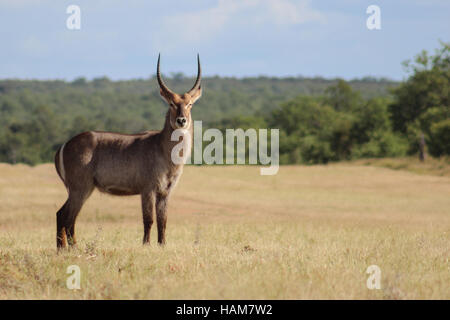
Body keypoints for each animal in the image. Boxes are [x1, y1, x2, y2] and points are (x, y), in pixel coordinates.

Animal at [53, 54, 201, 250]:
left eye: (190, 104)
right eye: (171, 103)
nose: (181, 120)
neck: (164, 150)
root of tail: (64, 146)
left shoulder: (165, 191)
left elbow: (163, 221)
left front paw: (162, 245)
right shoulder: (147, 189)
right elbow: (149, 219)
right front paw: (146, 245)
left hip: (78, 189)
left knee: (62, 215)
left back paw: (61, 249)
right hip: (80, 188)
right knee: (67, 217)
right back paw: (73, 249)